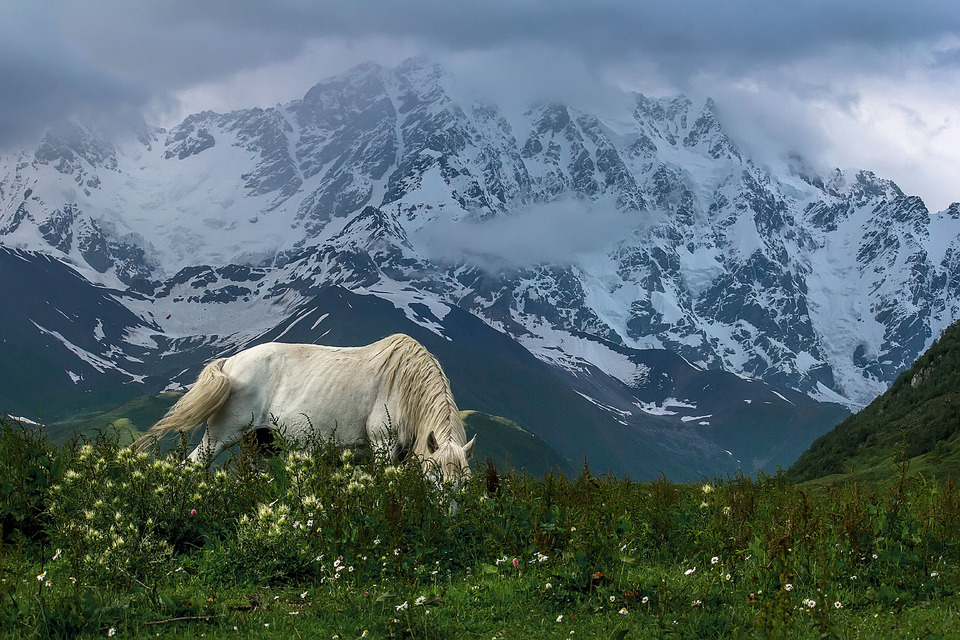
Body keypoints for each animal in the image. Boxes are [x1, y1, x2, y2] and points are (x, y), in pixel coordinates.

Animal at [133, 336, 478, 480]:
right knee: (189, 467)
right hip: (220, 437)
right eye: (434, 481)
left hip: (260, 444)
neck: (405, 384)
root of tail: (230, 363)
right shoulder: (383, 446)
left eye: (464, 484)